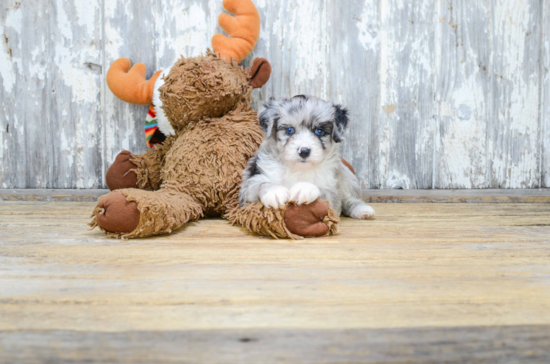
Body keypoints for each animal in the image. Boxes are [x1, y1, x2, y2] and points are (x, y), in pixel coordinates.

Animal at [239, 94, 378, 219]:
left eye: (319, 131)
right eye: (290, 130)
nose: (304, 151)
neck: (298, 169)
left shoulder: (332, 194)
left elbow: (322, 189)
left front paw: (304, 188)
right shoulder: (246, 192)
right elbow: (260, 185)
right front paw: (274, 191)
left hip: (347, 177)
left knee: (350, 199)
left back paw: (362, 210)